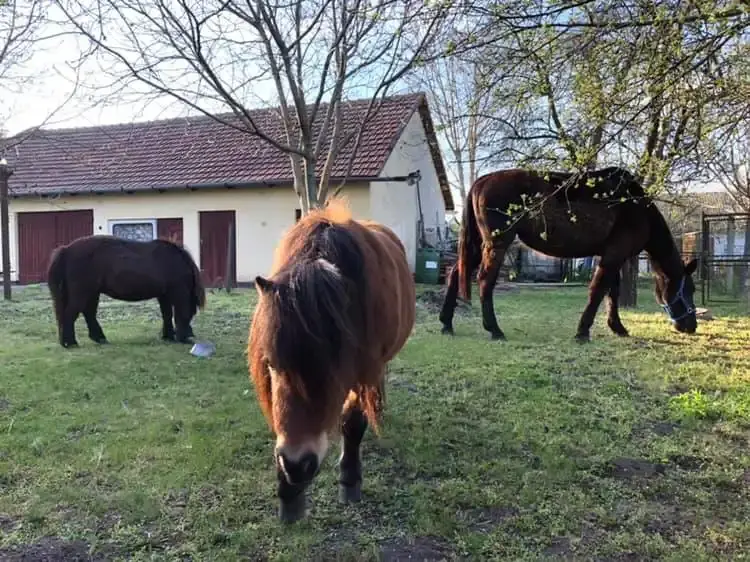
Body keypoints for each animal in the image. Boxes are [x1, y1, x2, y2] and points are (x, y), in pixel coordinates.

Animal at [47, 232, 207, 346]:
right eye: (193, 312)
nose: (189, 336)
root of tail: (66, 250)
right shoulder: (178, 293)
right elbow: (178, 312)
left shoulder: (164, 295)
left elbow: (166, 314)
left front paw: (168, 336)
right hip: (82, 293)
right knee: (71, 314)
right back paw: (70, 343)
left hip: (92, 292)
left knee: (88, 313)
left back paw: (99, 338)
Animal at [251, 196, 418, 520]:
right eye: (272, 364)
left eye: (334, 369)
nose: (297, 465)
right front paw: (289, 495)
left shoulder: (363, 371)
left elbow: (352, 424)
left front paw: (350, 480)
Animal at [438, 166, 704, 340]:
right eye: (689, 289)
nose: (690, 325)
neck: (635, 206)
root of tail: (481, 181)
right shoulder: (614, 255)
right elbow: (599, 290)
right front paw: (583, 331)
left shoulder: (609, 255)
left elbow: (611, 292)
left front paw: (617, 327)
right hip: (497, 244)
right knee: (485, 280)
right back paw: (494, 329)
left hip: (478, 245)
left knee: (455, 273)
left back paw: (447, 323)